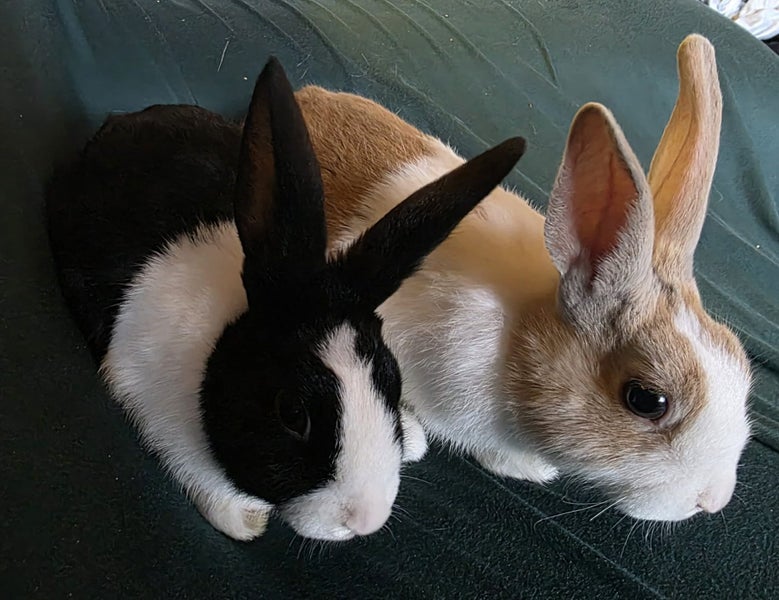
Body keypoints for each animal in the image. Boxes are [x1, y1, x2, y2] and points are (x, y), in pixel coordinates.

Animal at [293, 34, 753, 522]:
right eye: (647, 400)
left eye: (742, 363)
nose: (712, 499)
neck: (516, 343)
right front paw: (415, 441)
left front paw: (527, 467)